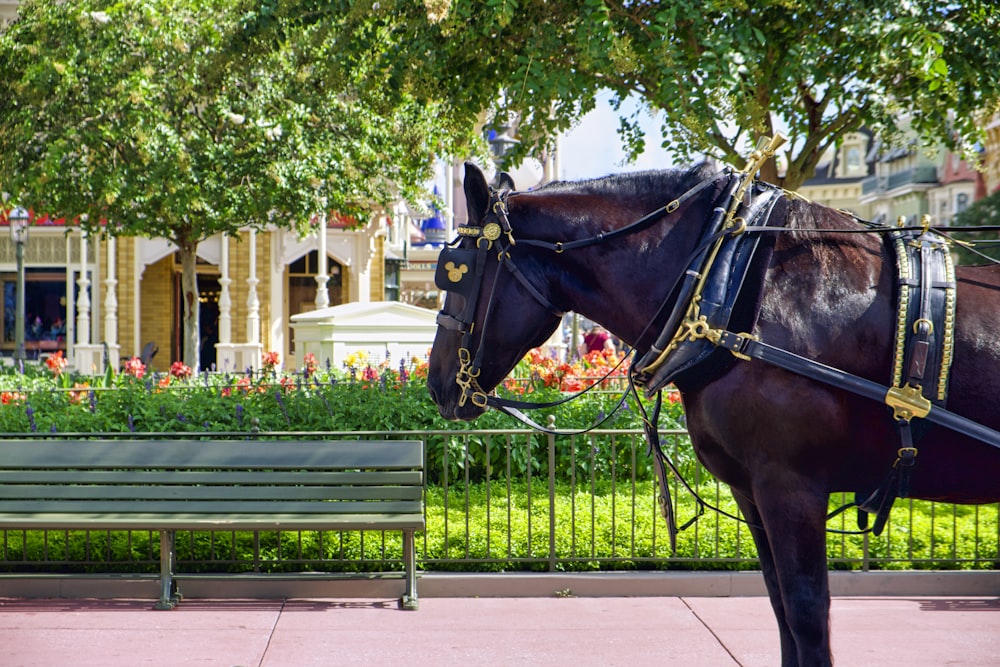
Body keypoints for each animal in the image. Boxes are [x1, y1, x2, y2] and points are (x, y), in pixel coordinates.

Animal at [426, 159, 1000, 664]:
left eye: (455, 274)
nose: (434, 384)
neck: (728, 286)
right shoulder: (754, 491)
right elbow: (781, 610)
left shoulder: (791, 487)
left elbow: (807, 614)